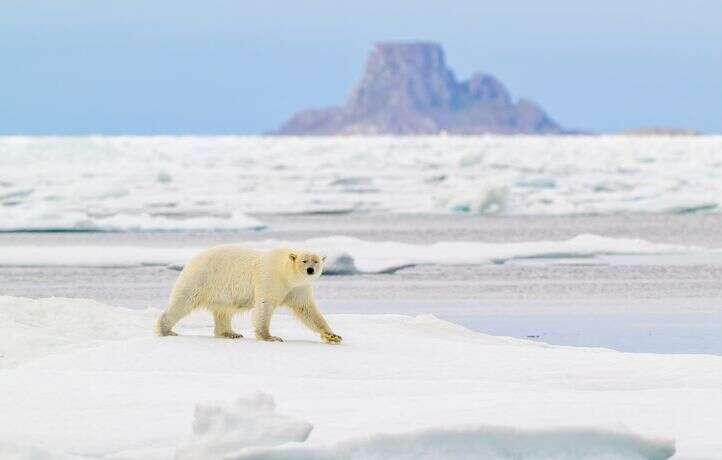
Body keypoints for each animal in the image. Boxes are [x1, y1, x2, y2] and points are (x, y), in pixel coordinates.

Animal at [155, 246, 340, 344]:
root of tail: (192, 260)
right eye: (304, 260)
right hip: (201, 279)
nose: (310, 270)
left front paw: (333, 336)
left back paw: (230, 333)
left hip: (220, 292)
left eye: (316, 261)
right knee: (182, 302)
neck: (285, 272)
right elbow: (264, 306)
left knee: (223, 312)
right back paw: (166, 330)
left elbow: (307, 310)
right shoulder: (269, 278)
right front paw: (270, 337)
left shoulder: (298, 288)